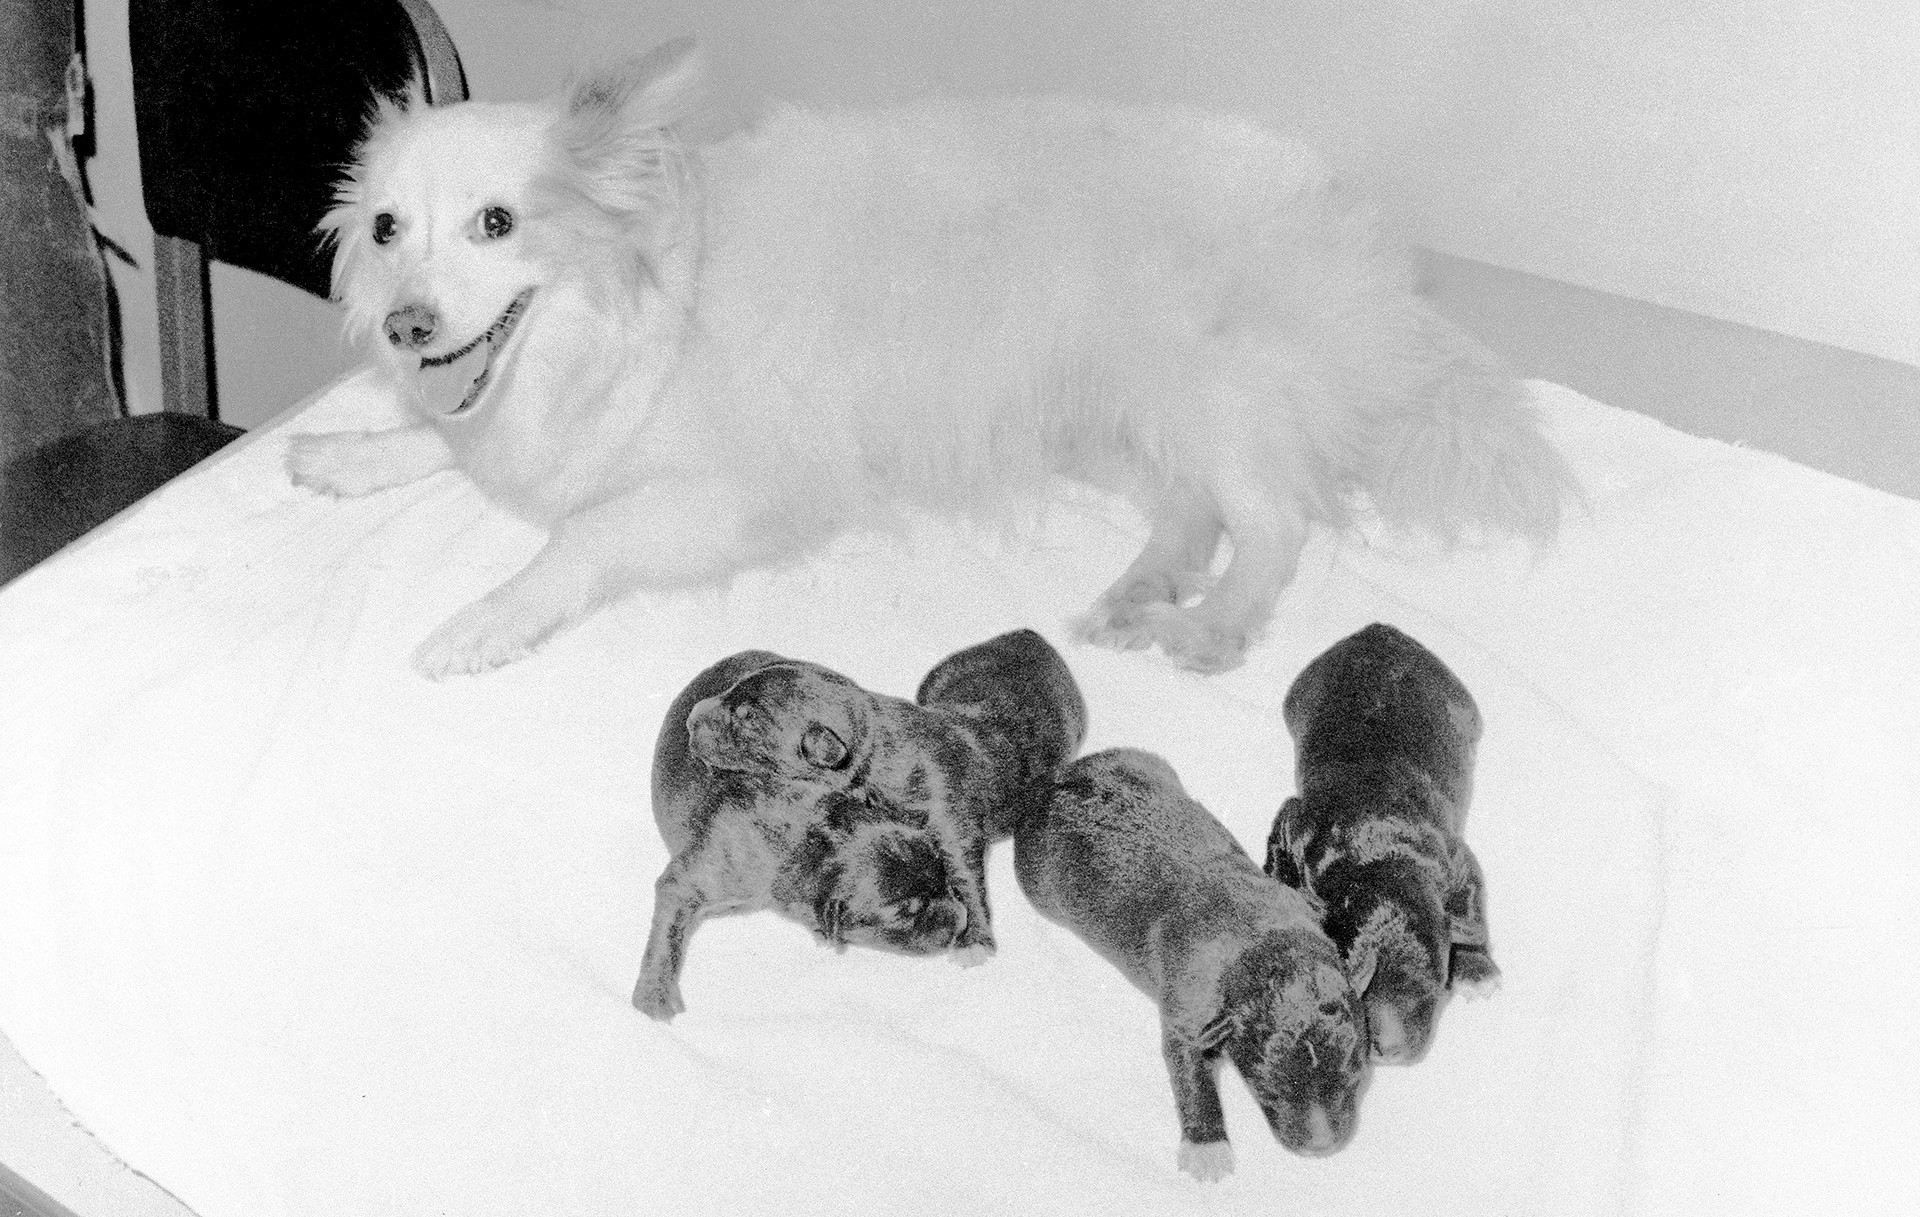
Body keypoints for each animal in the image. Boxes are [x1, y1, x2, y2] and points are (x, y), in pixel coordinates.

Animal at [288, 37, 1574, 679]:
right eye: (387, 230)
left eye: (498, 224)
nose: (407, 327)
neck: (644, 310)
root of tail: (1368, 257)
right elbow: (436, 439)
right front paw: (346, 455)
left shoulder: (741, 495)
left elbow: (574, 540)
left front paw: (479, 623)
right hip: (1097, 423)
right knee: (1193, 510)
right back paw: (1141, 588)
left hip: (1201, 390)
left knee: (1275, 519)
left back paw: (1210, 625)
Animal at [629, 629, 1082, 1021]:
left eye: (747, 720)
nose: (692, 718)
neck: (875, 750)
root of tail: (1028, 635)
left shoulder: (950, 814)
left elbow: (967, 875)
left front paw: (977, 940)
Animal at [1013, 744, 1374, 1182]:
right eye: (1264, 1089)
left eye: (1357, 1074)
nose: (1323, 1148)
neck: (1263, 943)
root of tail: (1052, 781)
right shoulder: (1190, 1006)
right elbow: (1187, 1069)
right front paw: (1207, 1146)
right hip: (1036, 882)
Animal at [1267, 625, 1505, 1059]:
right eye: (1351, 978)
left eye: (1438, 982)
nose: (1389, 1049)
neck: (1379, 856)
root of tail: (1376, 630)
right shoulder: (1297, 822)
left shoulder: (1455, 858)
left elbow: (1472, 912)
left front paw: (1476, 968)